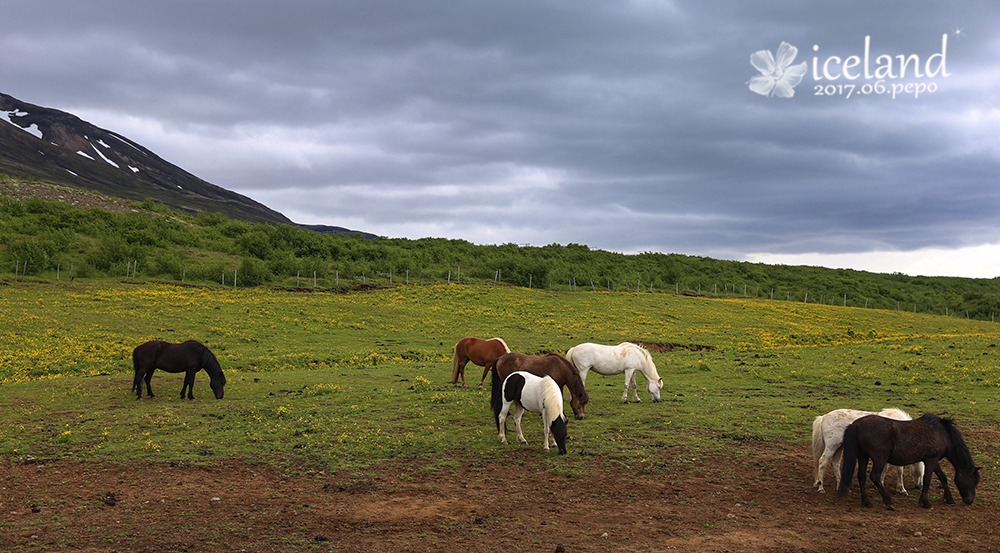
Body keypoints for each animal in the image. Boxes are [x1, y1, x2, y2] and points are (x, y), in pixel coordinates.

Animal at [840, 414, 980, 508]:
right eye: (973, 480)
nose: (970, 500)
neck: (943, 434)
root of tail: (856, 425)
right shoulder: (931, 460)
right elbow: (927, 480)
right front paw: (925, 502)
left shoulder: (933, 460)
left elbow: (942, 477)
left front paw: (949, 498)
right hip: (880, 459)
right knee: (874, 476)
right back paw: (888, 500)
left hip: (863, 457)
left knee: (861, 477)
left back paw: (866, 502)